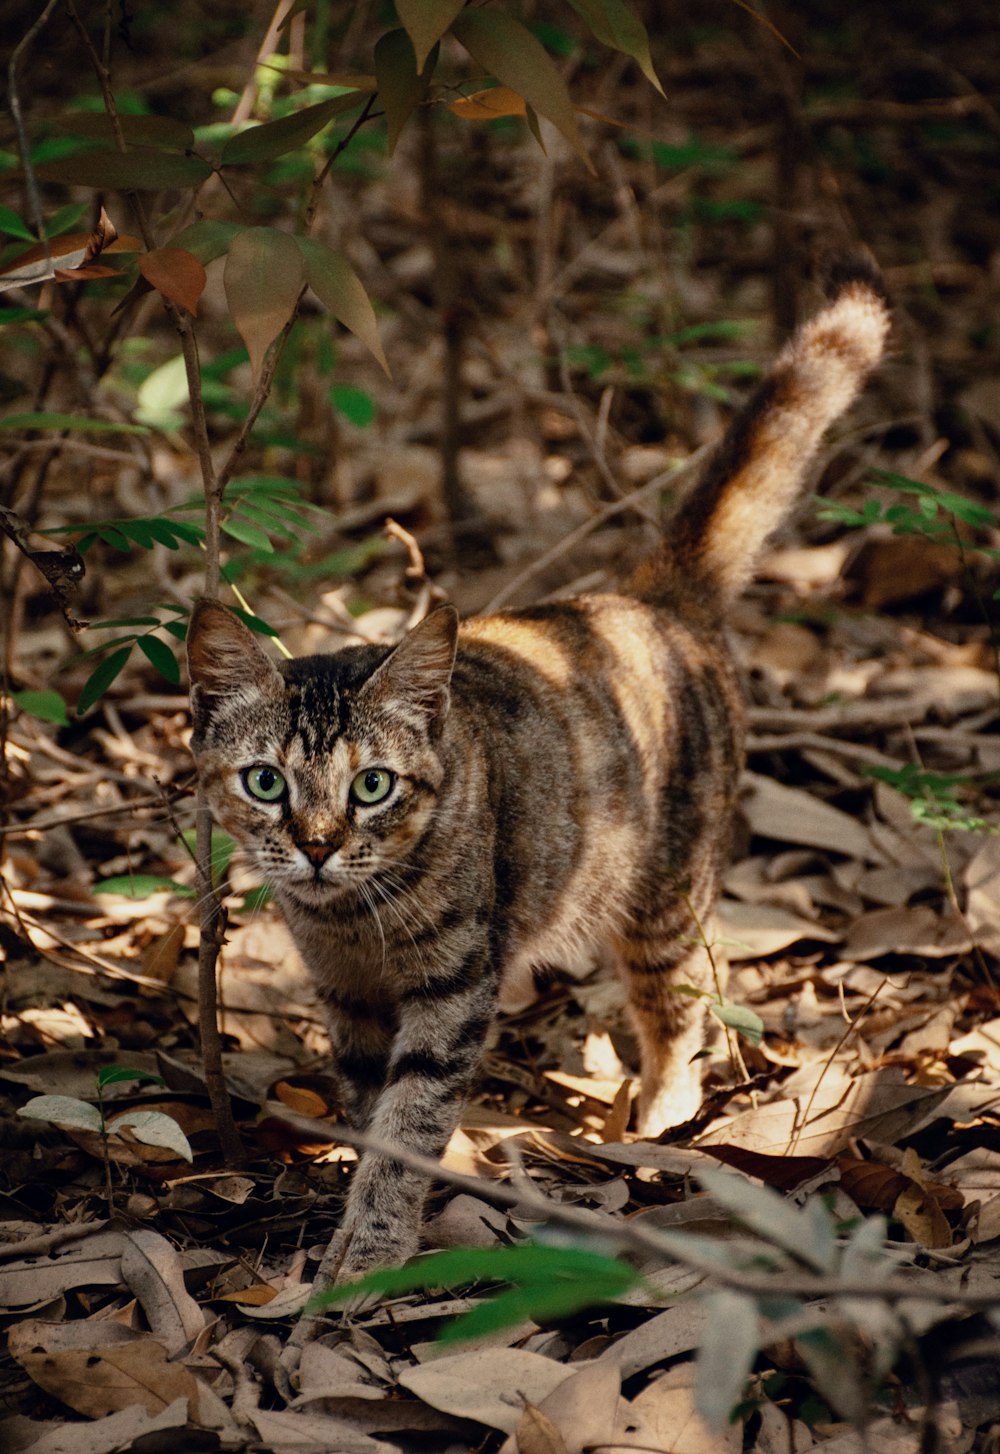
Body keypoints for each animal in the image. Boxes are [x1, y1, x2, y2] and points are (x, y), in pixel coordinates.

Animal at [183, 258, 889, 1285]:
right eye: (266, 782)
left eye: (371, 786)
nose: (315, 847)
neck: (350, 921)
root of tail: (644, 597)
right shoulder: (347, 998)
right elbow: (371, 1105)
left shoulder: (455, 988)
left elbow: (412, 1114)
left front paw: (371, 1248)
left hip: (662, 898)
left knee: (680, 1017)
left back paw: (661, 1117)